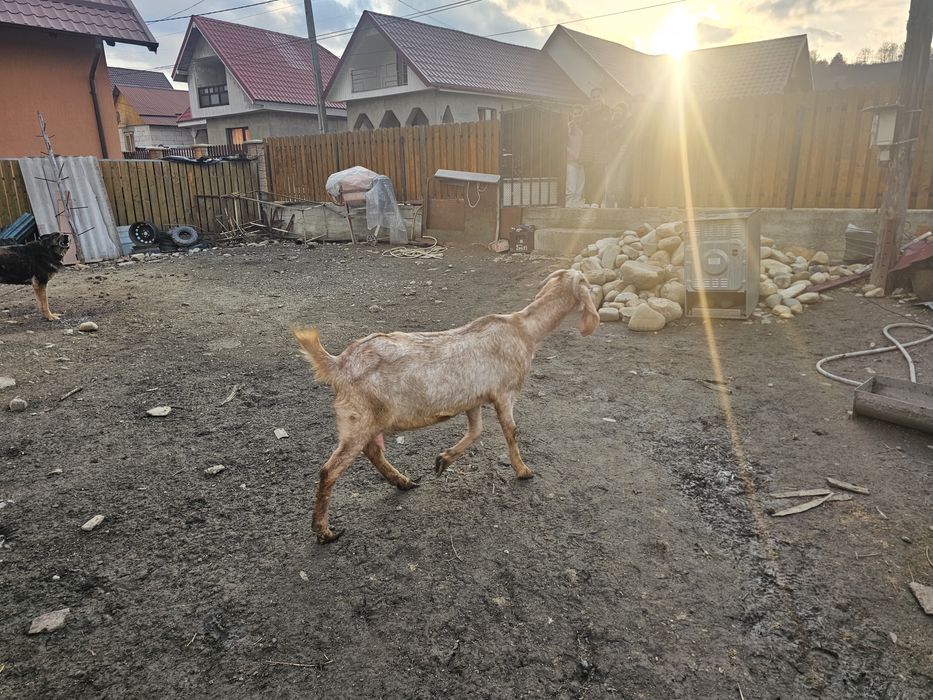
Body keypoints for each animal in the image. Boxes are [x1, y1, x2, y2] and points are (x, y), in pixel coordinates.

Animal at [293, 268, 599, 543]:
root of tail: (338, 364)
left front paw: (443, 460)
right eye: (586, 279)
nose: (597, 291)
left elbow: (476, 431)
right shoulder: (504, 393)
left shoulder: (473, 398)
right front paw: (523, 471)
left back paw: (403, 481)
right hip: (359, 418)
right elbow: (511, 432)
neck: (525, 329)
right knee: (330, 470)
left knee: (372, 451)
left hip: (366, 419)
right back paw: (324, 531)